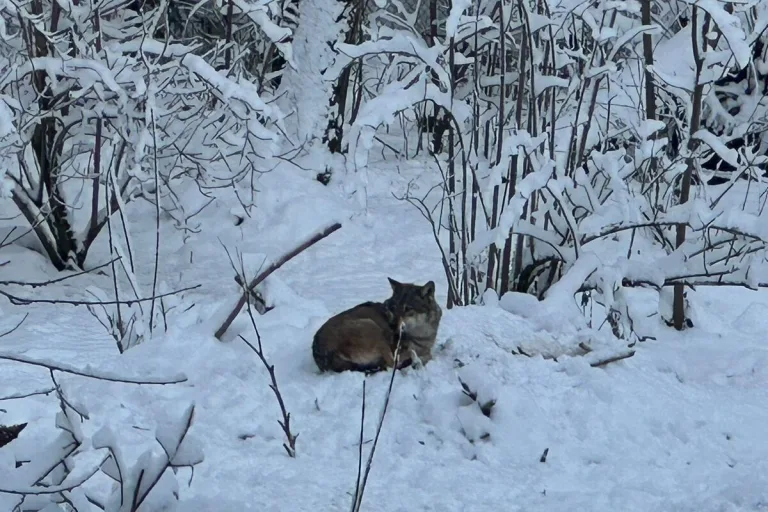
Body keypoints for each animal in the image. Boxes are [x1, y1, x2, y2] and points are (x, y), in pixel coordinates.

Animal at [312, 278, 442, 373]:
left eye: (408, 309)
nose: (392, 325)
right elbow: (422, 354)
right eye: (393, 307)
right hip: (372, 327)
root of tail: (321, 353)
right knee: (392, 364)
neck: (421, 335)